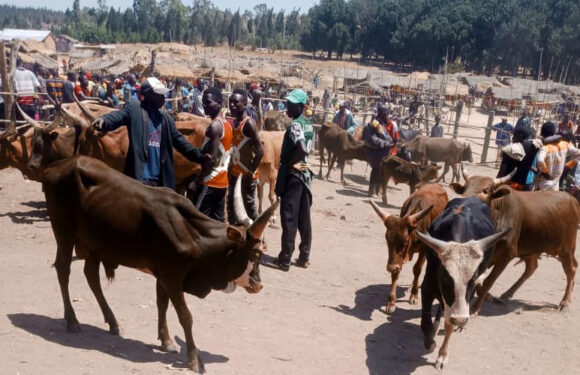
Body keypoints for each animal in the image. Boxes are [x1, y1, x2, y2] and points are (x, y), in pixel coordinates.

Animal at [42, 156, 278, 374]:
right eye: (257, 253)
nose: (258, 285)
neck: (193, 234)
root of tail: (57, 166)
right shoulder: (171, 277)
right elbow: (185, 316)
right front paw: (194, 359)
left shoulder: (163, 274)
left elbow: (161, 304)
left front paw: (166, 341)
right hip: (64, 232)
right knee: (63, 270)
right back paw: (72, 320)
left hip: (94, 243)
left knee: (91, 276)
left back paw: (113, 322)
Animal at [370, 184, 446, 316]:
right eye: (387, 238)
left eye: (405, 240)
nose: (391, 267)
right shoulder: (396, 259)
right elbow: (396, 274)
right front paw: (391, 302)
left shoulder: (424, 250)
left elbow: (417, 269)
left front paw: (414, 295)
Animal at [414, 198, 510, 372]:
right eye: (446, 278)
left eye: (472, 280)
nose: (460, 320)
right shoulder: (427, 287)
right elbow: (425, 322)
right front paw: (430, 342)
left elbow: (449, 326)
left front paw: (442, 355)